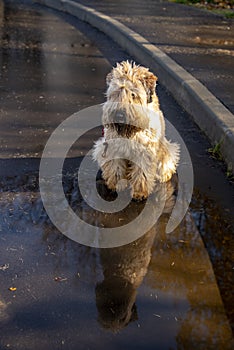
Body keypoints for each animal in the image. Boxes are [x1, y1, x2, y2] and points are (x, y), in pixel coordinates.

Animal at [92, 61, 179, 201]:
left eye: (133, 94)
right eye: (116, 92)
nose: (119, 115)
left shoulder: (145, 151)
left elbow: (142, 173)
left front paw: (139, 193)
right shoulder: (113, 147)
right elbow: (115, 168)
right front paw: (114, 185)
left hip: (166, 152)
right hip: (101, 147)